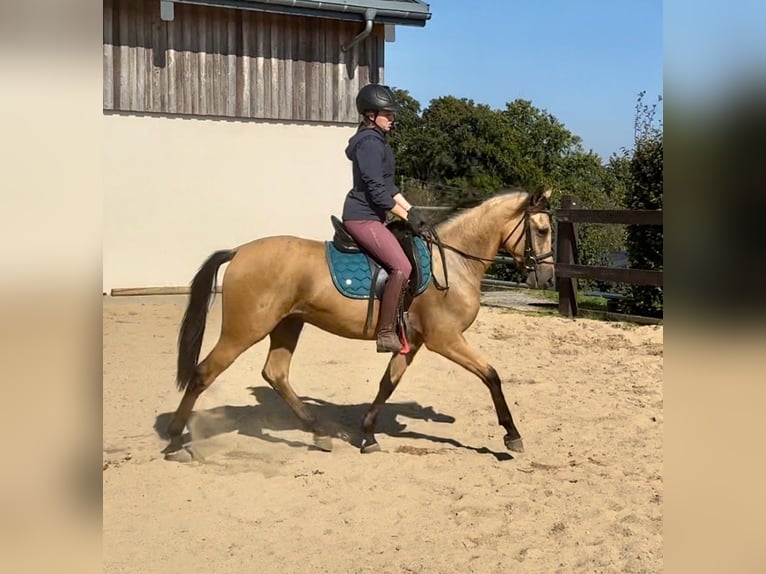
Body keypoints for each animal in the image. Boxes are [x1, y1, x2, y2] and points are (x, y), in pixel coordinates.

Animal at [168, 187, 556, 456]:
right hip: (245, 329)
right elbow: (491, 375)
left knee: (275, 373)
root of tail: (239, 251)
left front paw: (368, 434)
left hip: (287, 324)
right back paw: (174, 440)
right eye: (541, 230)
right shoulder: (445, 338)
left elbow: (388, 384)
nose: (548, 278)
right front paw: (511, 435)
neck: (452, 263)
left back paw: (318, 432)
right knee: (204, 373)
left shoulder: (413, 341)